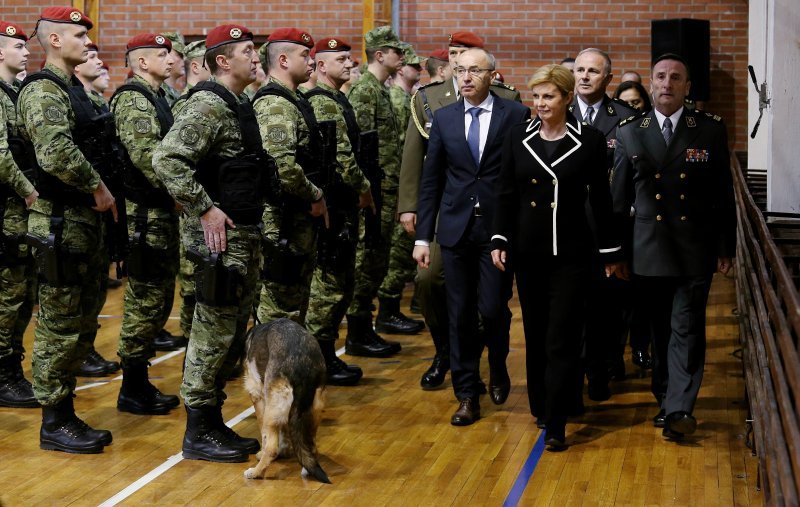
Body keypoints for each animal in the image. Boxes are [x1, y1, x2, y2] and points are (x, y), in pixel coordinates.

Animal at [244, 320, 332, 482]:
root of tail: (302, 365)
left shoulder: (258, 396)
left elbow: (264, 435)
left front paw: (261, 453)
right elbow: (283, 433)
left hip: (272, 410)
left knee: (271, 449)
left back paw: (255, 472)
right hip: (313, 411)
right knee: (312, 447)